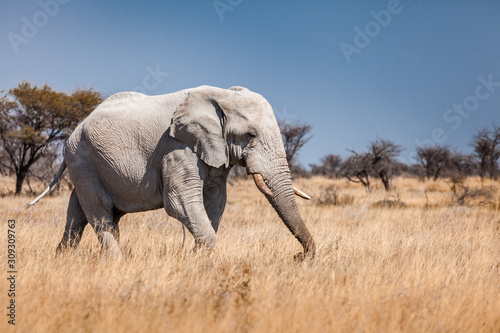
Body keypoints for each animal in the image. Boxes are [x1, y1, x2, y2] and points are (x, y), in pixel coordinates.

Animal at [27, 84, 314, 258]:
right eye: (250, 135)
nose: (299, 256)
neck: (222, 95)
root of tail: (76, 128)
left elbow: (215, 202)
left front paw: (196, 258)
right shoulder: (177, 147)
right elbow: (179, 202)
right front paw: (198, 257)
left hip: (89, 163)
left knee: (78, 214)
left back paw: (62, 258)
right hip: (83, 160)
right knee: (100, 213)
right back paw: (116, 262)